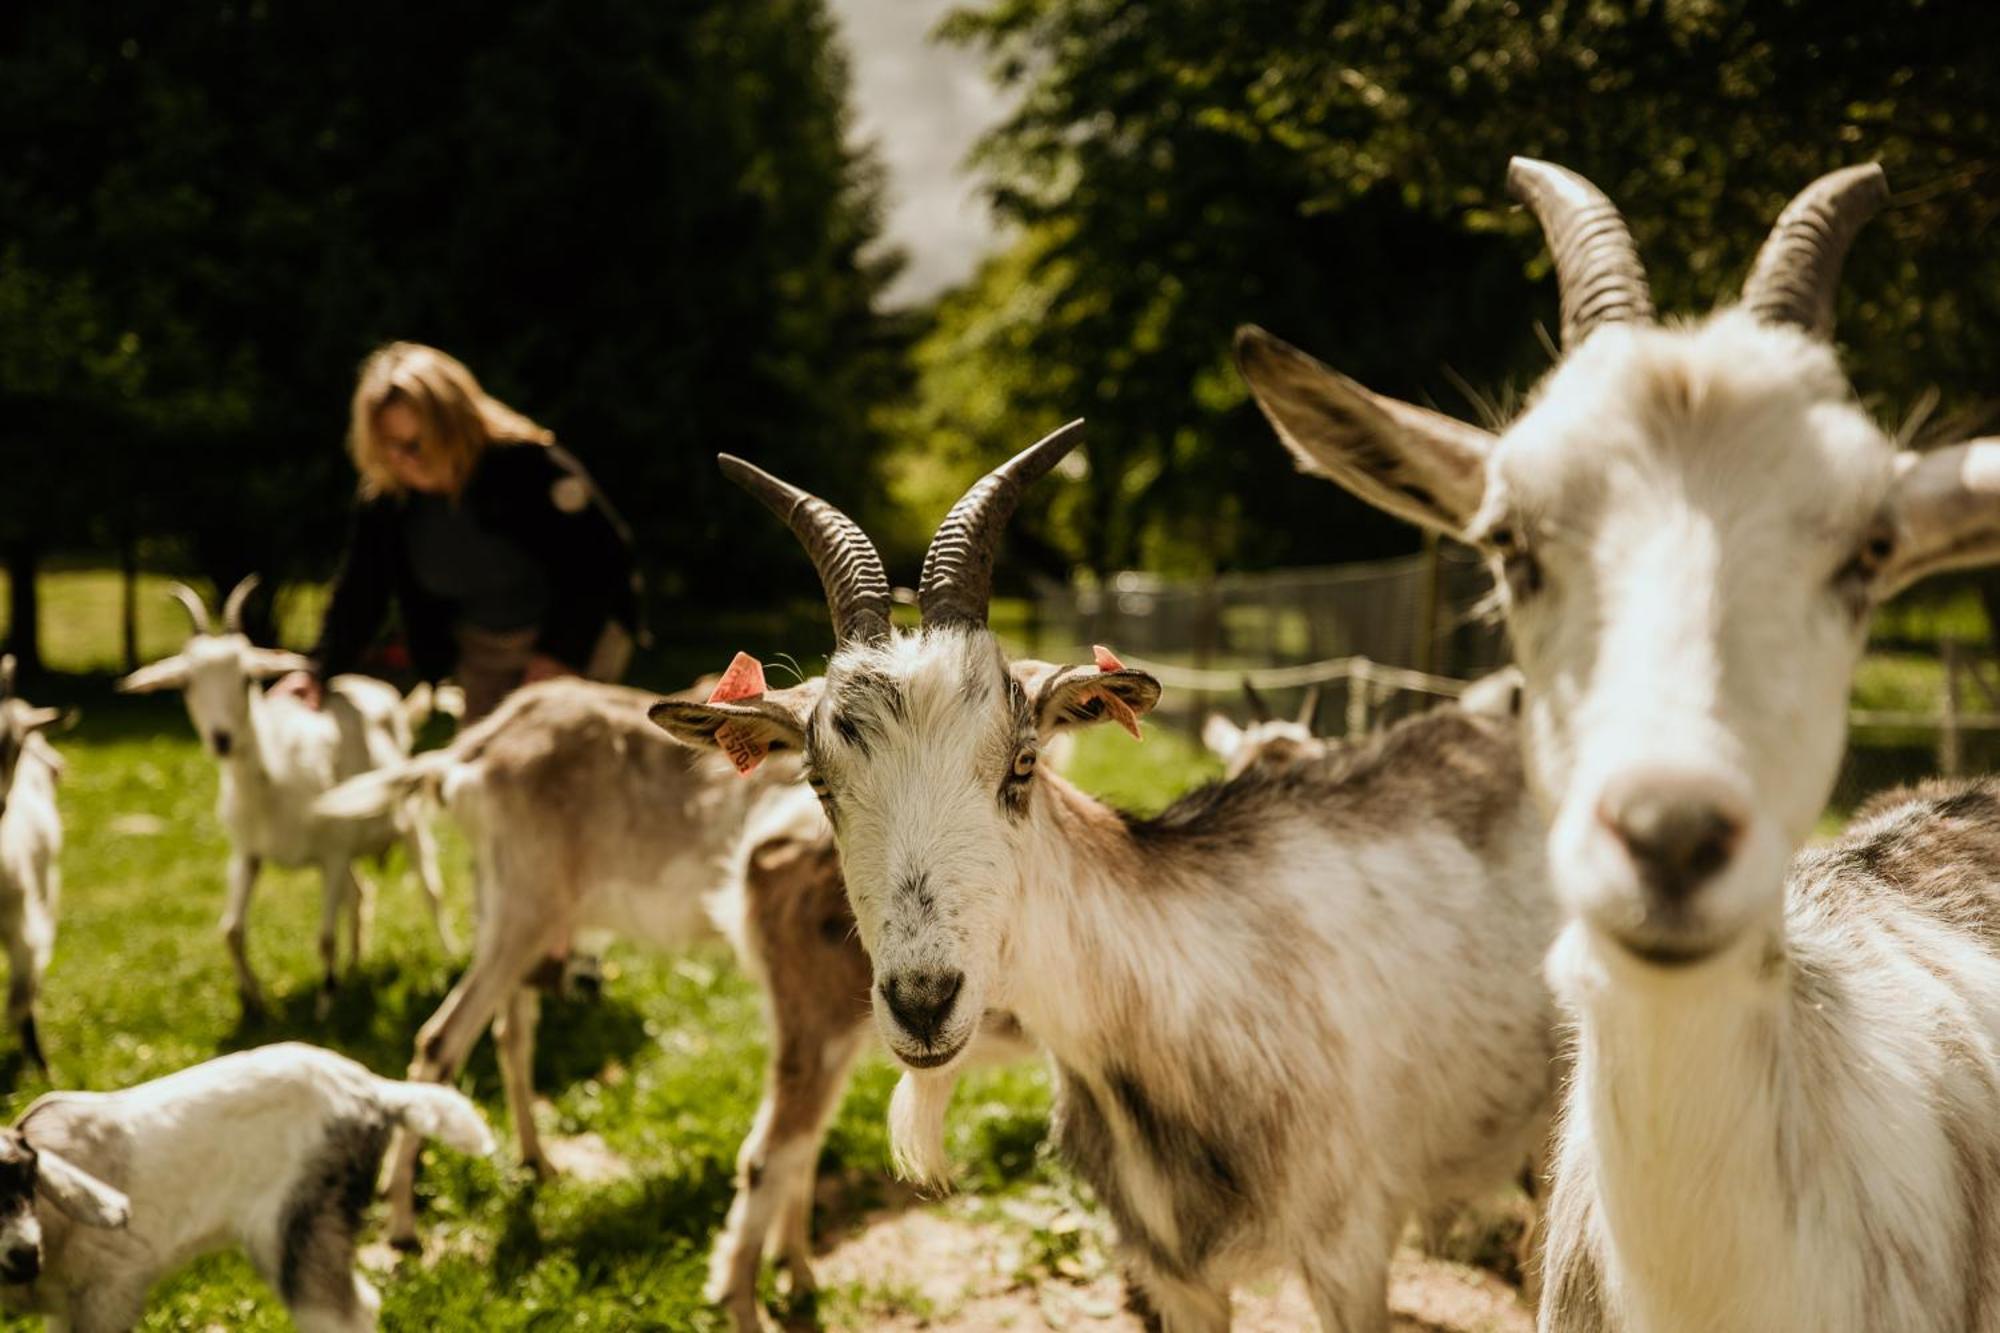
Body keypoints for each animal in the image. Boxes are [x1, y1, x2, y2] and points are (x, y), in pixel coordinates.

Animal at [0, 1040, 492, 1320]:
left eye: (25, 1177)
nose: (22, 1255)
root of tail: (377, 1091)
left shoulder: (109, 1289)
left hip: (299, 1229)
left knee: (344, 1313)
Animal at [115, 576, 452, 1012]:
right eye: (187, 683)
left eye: (246, 678)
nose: (222, 738)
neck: (272, 783)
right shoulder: (249, 853)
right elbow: (231, 931)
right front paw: (255, 1001)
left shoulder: (332, 855)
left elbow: (324, 938)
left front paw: (326, 1003)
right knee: (360, 894)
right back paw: (356, 965)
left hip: (407, 824)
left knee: (431, 890)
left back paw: (448, 957)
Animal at [656, 426, 1560, 1328]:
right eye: (820, 780)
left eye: (1023, 763)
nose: (923, 1001)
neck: (1181, 987)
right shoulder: (1175, 1270)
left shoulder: (1351, 1249)